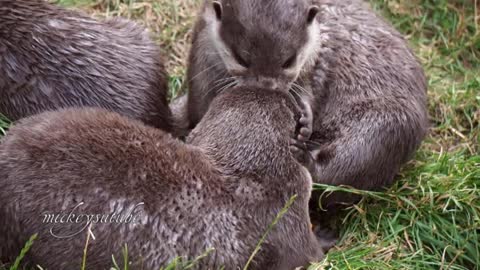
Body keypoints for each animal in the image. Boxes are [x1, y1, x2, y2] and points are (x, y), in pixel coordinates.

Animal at [184, 0, 428, 213]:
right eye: (241, 59)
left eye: (289, 60)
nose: (267, 88)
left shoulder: (314, 60)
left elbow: (308, 86)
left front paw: (305, 118)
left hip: (389, 125)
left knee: (346, 167)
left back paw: (302, 156)